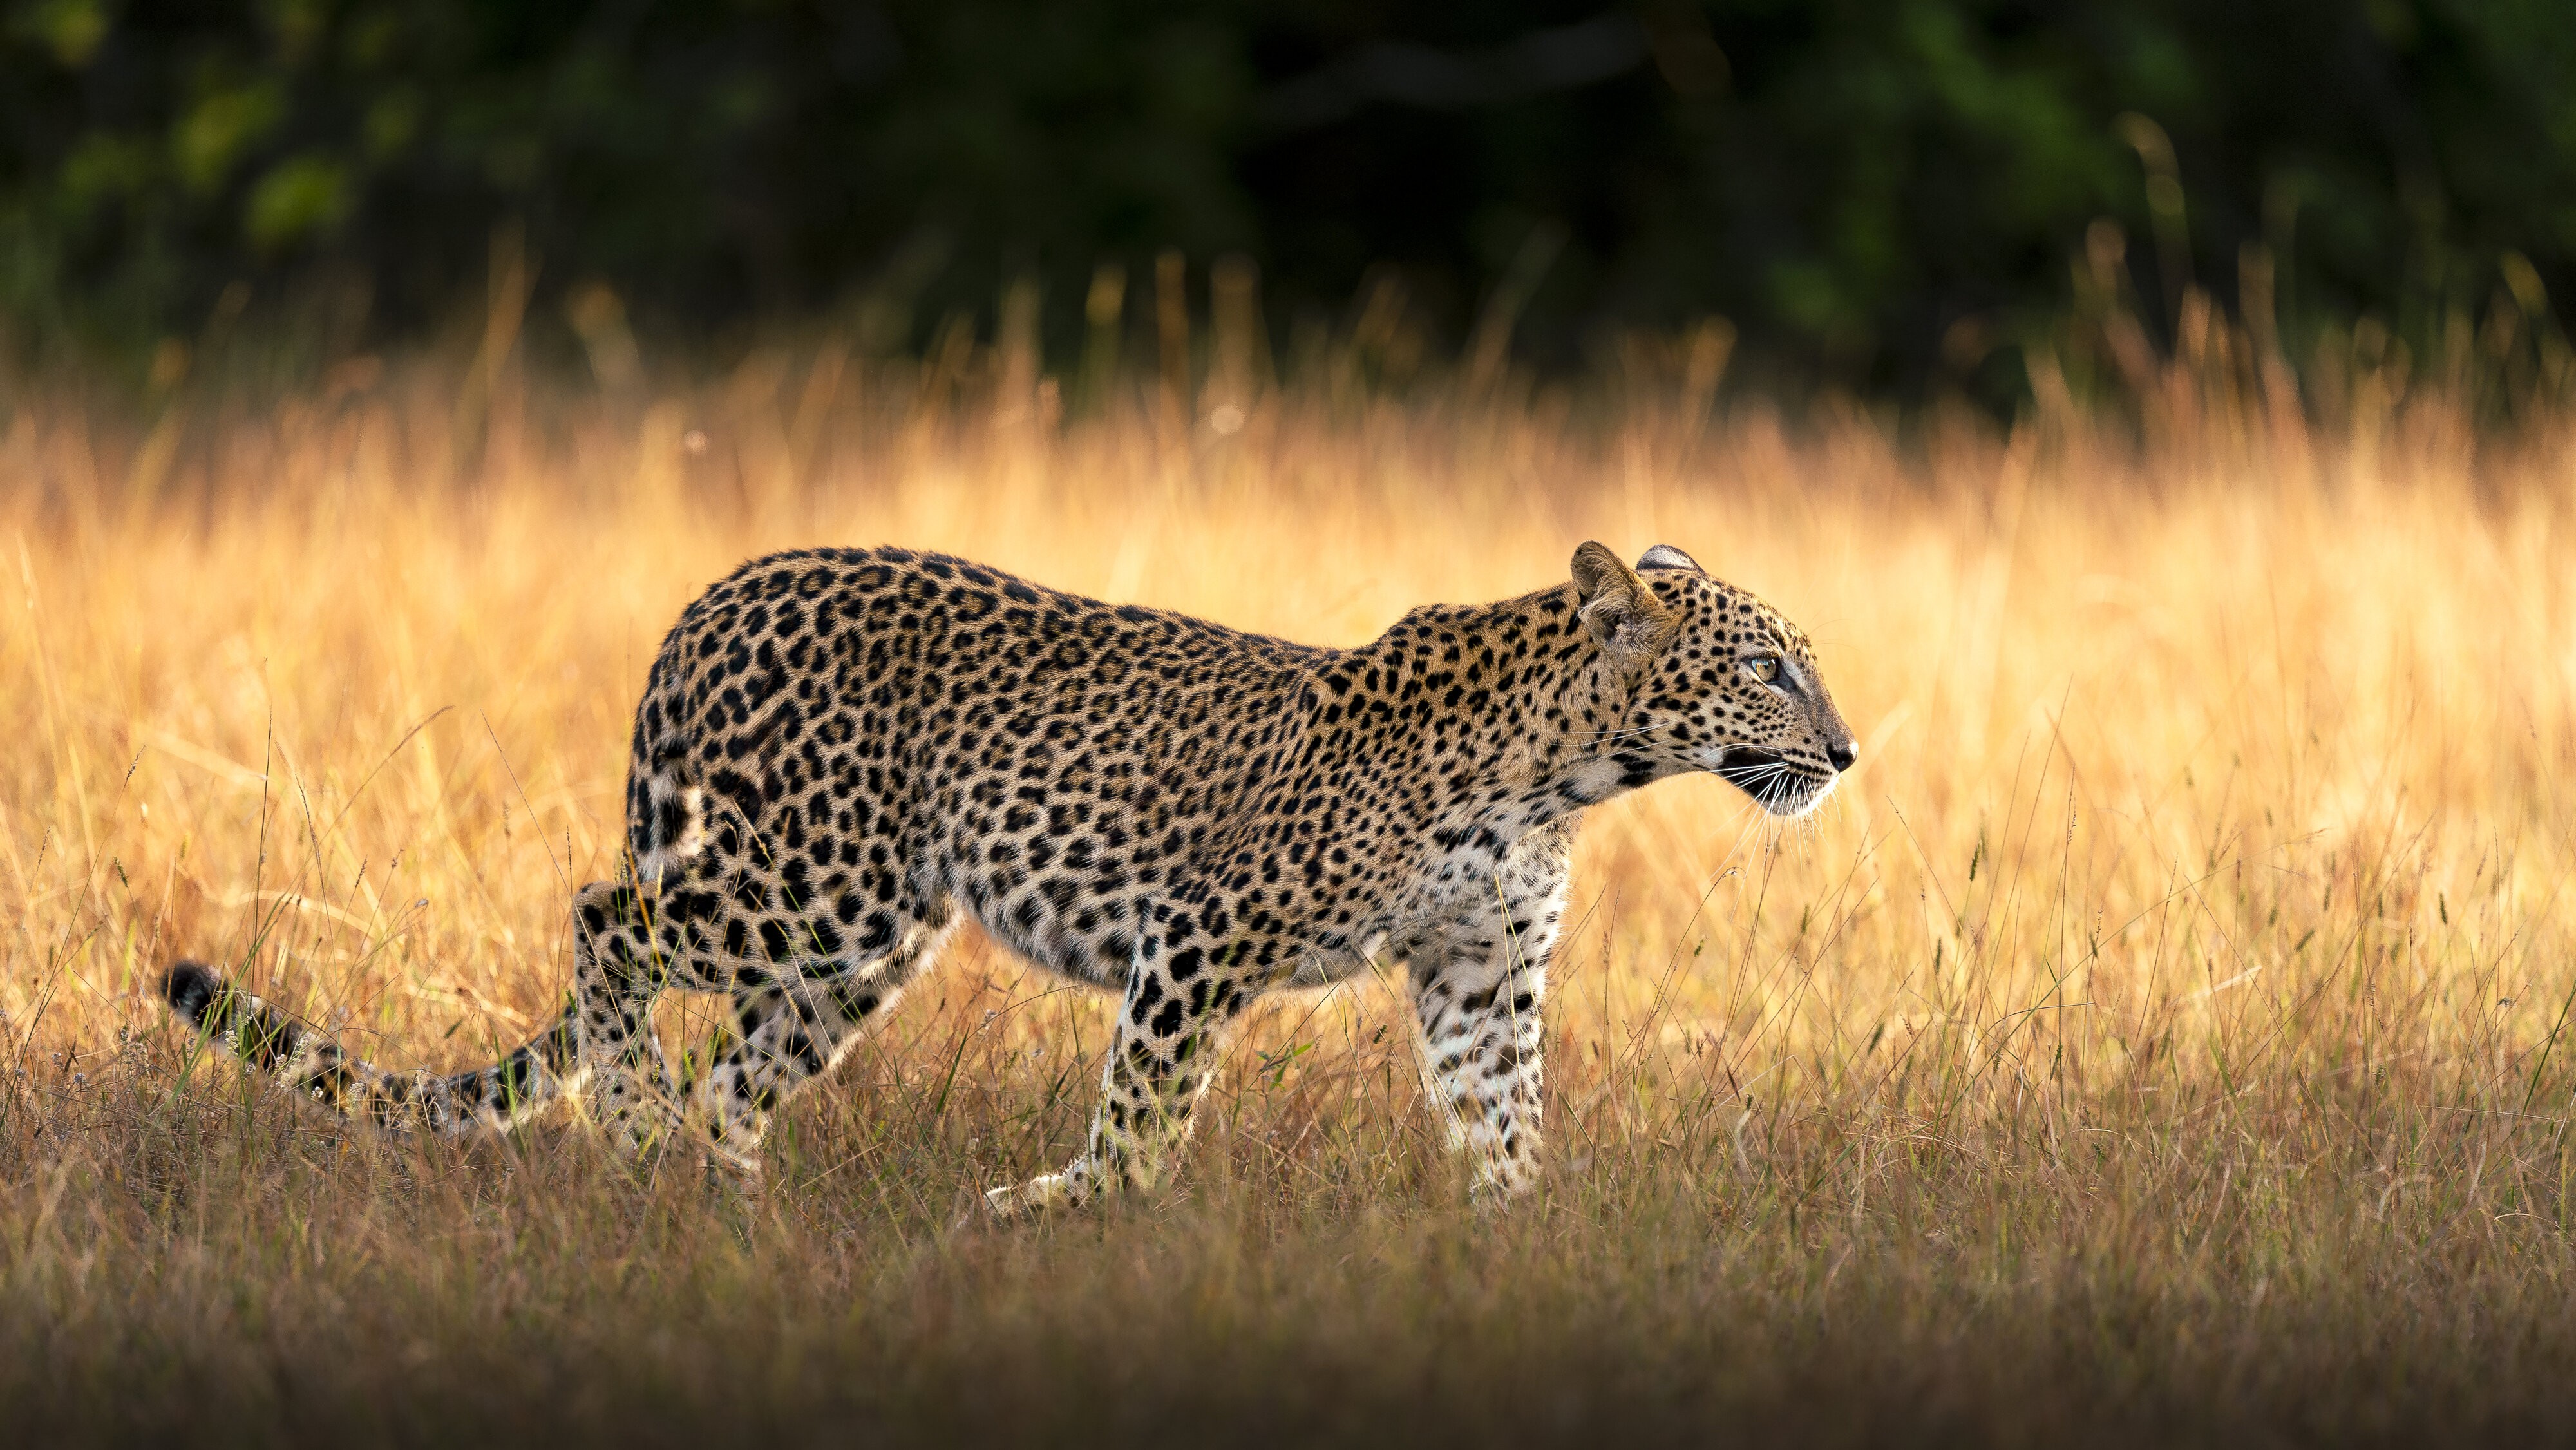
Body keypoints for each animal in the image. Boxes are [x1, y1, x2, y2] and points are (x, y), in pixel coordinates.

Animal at [162, 540, 1857, 1216]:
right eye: (1763, 669)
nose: (1844, 753)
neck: (1567, 774)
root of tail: (712, 595)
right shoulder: (1203, 937)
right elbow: (1145, 1114)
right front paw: (1061, 1211)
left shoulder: (1478, 974)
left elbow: (1503, 1125)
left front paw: (1517, 1252)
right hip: (806, 878)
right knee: (605, 922)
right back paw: (638, 1139)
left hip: (863, 942)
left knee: (731, 1074)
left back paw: (734, 1212)